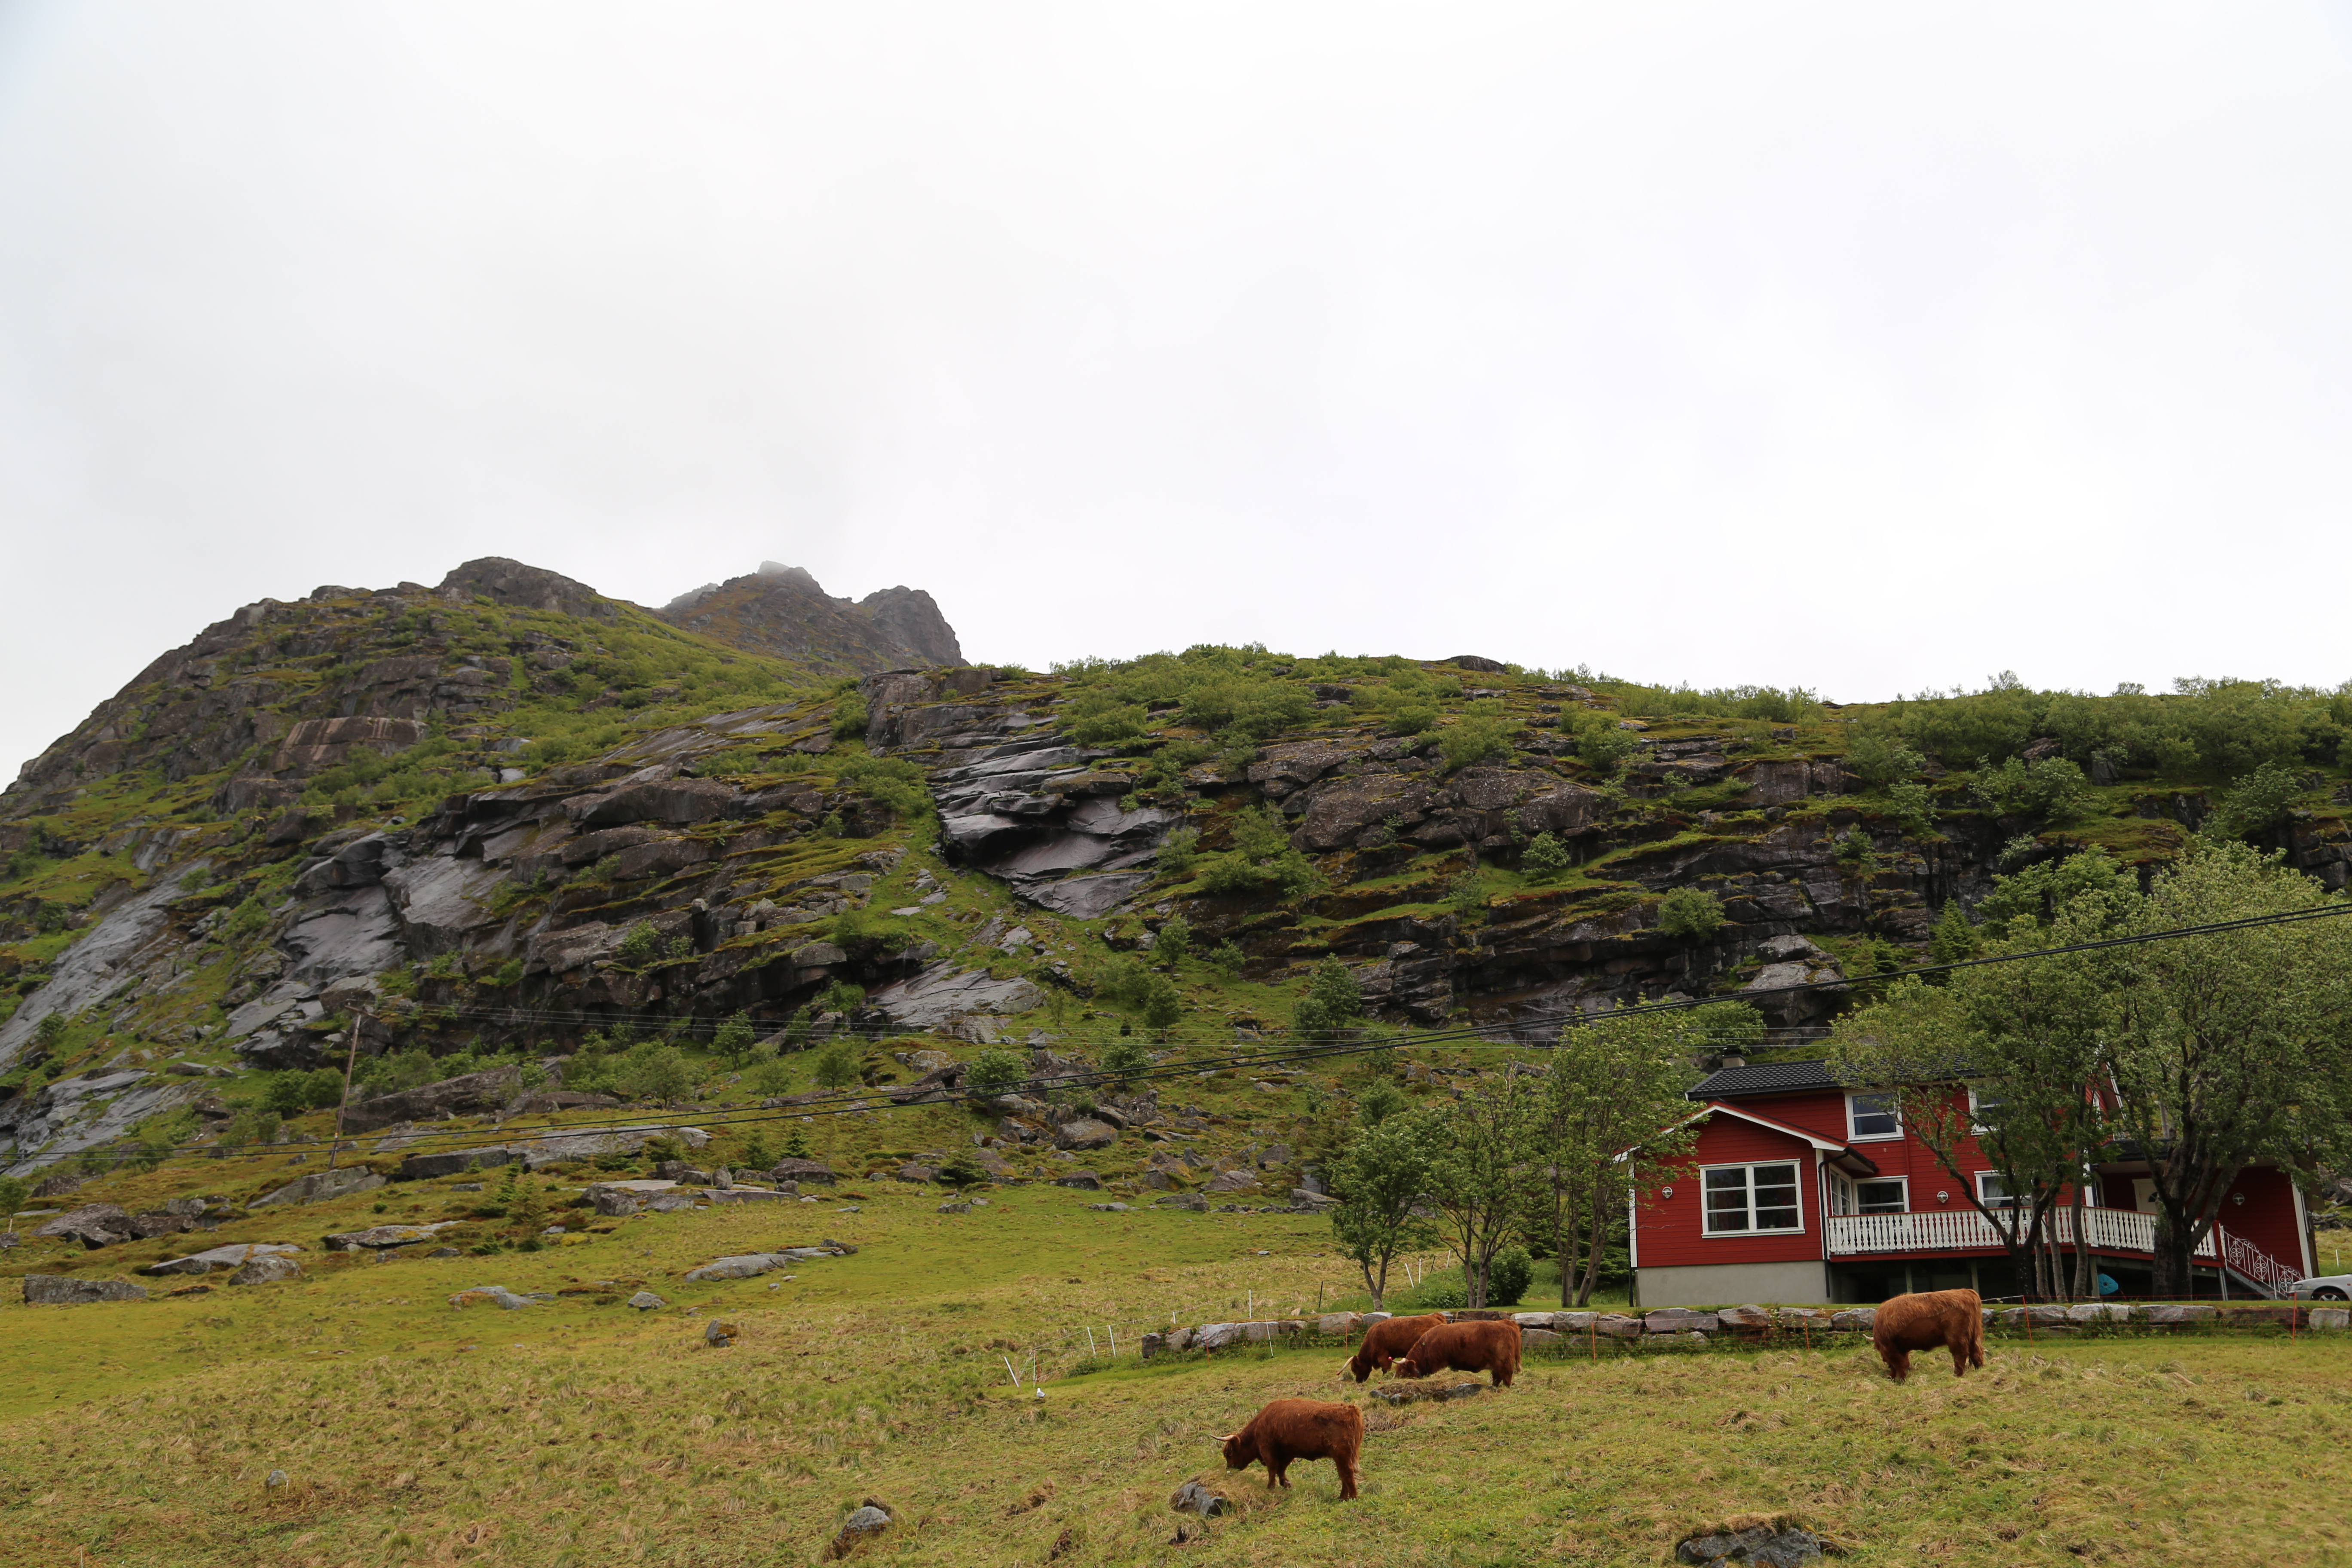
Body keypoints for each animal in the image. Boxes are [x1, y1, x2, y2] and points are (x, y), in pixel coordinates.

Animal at [1213, 1401, 1364, 1504]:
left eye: (1229, 1454)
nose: (1229, 1468)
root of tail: (1351, 1410)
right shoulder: (1288, 1453)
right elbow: (1281, 1470)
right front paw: (1286, 1484)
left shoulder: (1268, 1450)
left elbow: (1273, 1469)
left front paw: (1271, 1487)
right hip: (1341, 1457)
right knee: (1343, 1474)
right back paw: (1342, 1498)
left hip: (1341, 1454)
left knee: (1347, 1474)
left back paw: (1353, 1498)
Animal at [1383, 1316, 1514, 1391]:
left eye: (1402, 1371)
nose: (1393, 1383)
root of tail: (1505, 1323)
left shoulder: (1438, 1365)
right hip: (1496, 1367)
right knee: (1497, 1379)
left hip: (1504, 1365)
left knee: (1507, 1379)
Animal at [1872, 1288, 1985, 1382]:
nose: (1883, 1359)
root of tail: (1967, 1292)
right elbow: (1901, 1364)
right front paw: (1892, 1379)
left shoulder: (1889, 1347)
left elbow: (1898, 1365)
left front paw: (1901, 1381)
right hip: (1975, 1334)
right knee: (1976, 1352)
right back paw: (1979, 1371)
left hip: (1956, 1337)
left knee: (1960, 1354)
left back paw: (1957, 1375)